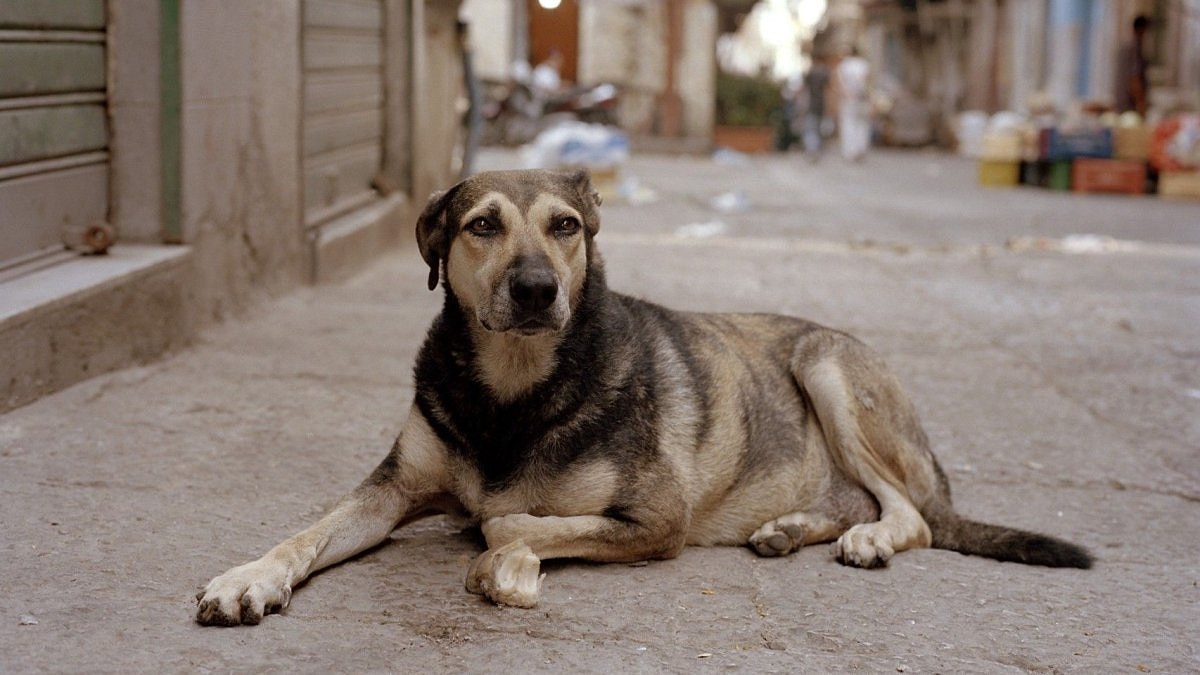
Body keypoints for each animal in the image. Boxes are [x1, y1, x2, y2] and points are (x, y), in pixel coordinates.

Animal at [196, 169, 1099, 624]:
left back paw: (870, 536)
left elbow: (510, 520)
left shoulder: (658, 517)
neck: (513, 387)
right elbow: (308, 531)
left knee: (911, 515)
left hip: (827, 367)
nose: (535, 290)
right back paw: (791, 526)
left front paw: (506, 561)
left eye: (565, 226)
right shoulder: (391, 488)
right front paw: (250, 577)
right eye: (482, 225)